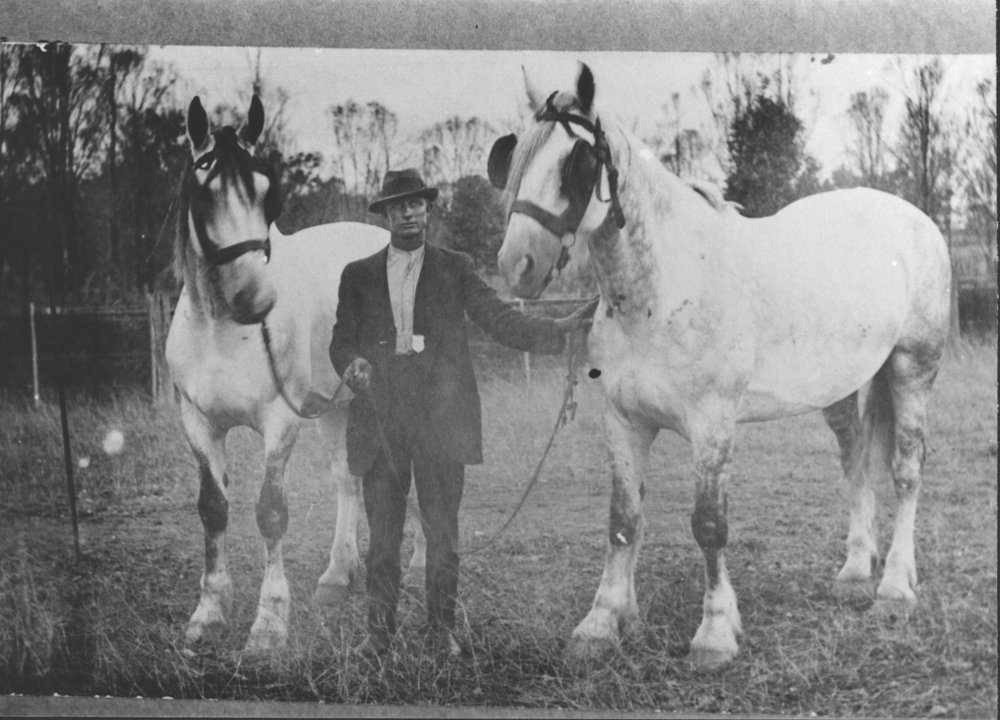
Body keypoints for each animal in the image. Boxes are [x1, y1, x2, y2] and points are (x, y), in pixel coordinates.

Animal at [165, 95, 424, 653]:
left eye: (267, 192)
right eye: (205, 186)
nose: (255, 297)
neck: (221, 328)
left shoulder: (280, 422)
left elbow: (270, 513)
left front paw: (268, 623)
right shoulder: (196, 422)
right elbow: (212, 508)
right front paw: (209, 612)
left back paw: (417, 562)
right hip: (338, 406)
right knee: (347, 480)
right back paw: (336, 576)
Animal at [489, 64, 951, 668]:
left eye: (576, 162)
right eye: (518, 157)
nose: (517, 266)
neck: (661, 289)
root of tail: (917, 220)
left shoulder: (712, 425)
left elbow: (709, 525)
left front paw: (714, 633)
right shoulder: (623, 420)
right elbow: (623, 521)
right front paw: (601, 623)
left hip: (911, 369)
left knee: (905, 471)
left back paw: (895, 588)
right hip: (841, 388)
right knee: (856, 463)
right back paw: (854, 573)